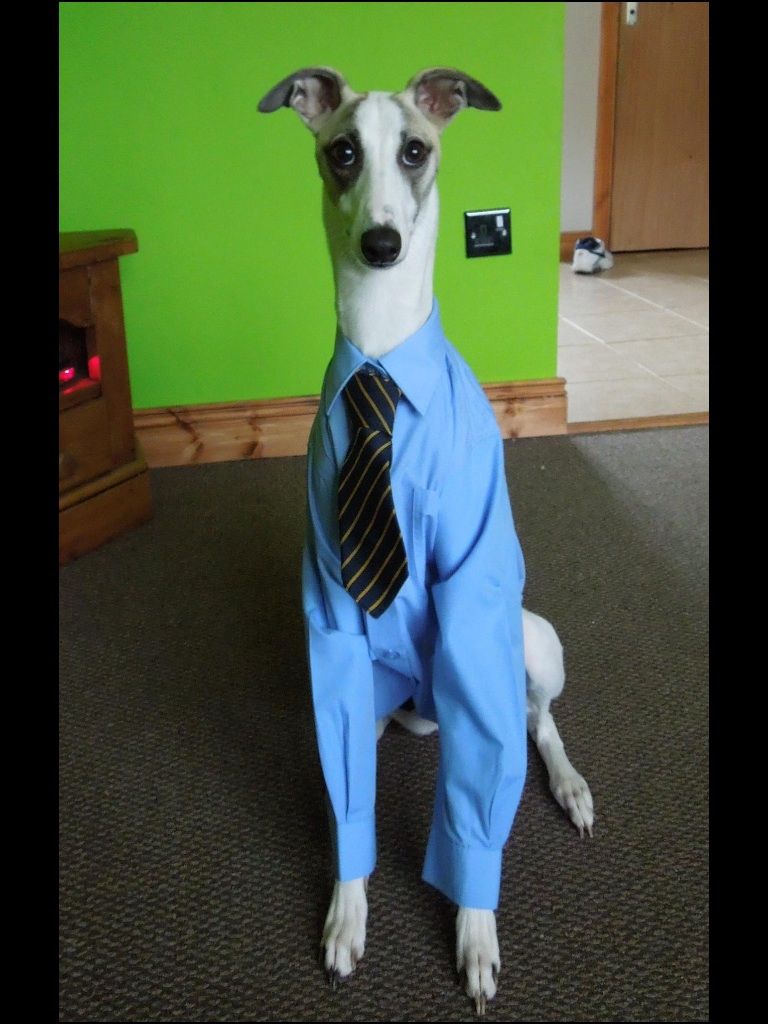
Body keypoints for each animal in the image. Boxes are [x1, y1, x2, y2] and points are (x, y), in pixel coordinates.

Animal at [259, 66, 593, 1015]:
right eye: (341, 151)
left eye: (415, 149)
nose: (381, 244)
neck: (382, 350)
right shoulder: (334, 615)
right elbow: (349, 804)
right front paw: (347, 910)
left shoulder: (474, 590)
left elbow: (482, 791)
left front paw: (475, 933)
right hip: (382, 696)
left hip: (527, 637)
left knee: (535, 721)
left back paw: (568, 784)